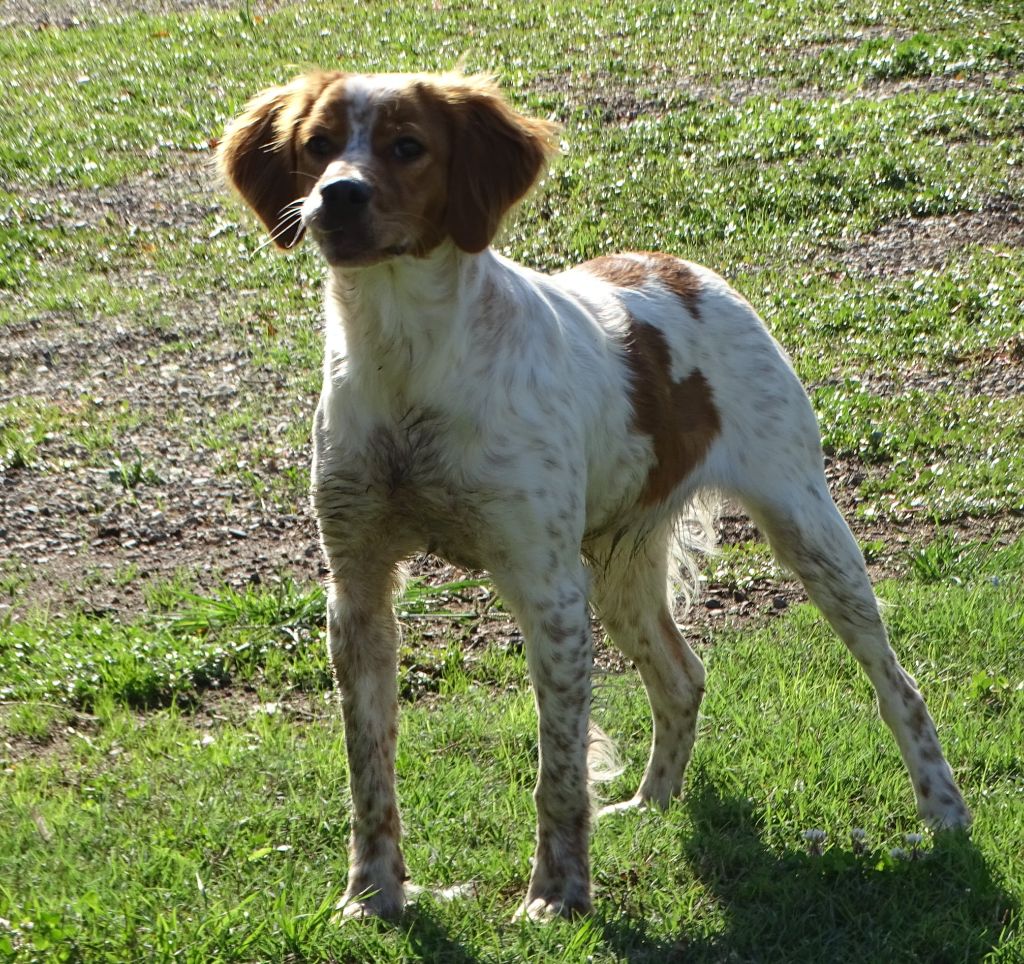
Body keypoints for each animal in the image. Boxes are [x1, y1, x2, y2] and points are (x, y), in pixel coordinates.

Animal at [220, 71, 970, 921]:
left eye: (407, 146)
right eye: (316, 145)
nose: (338, 196)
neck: (408, 358)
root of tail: (679, 266)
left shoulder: (545, 587)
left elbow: (560, 771)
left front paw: (558, 895)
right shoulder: (358, 588)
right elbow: (368, 770)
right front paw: (373, 894)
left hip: (807, 526)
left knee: (896, 684)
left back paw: (943, 811)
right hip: (621, 571)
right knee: (682, 677)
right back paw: (653, 802)